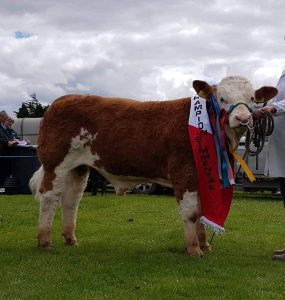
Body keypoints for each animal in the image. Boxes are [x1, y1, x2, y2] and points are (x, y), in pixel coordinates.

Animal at [30, 76, 276, 256]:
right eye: (222, 98)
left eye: (252, 98)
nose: (243, 118)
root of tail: (61, 100)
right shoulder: (184, 172)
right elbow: (192, 213)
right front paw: (193, 249)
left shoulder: (201, 175)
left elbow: (202, 213)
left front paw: (205, 245)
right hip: (56, 163)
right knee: (50, 197)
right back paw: (45, 240)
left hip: (79, 167)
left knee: (72, 200)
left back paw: (71, 239)